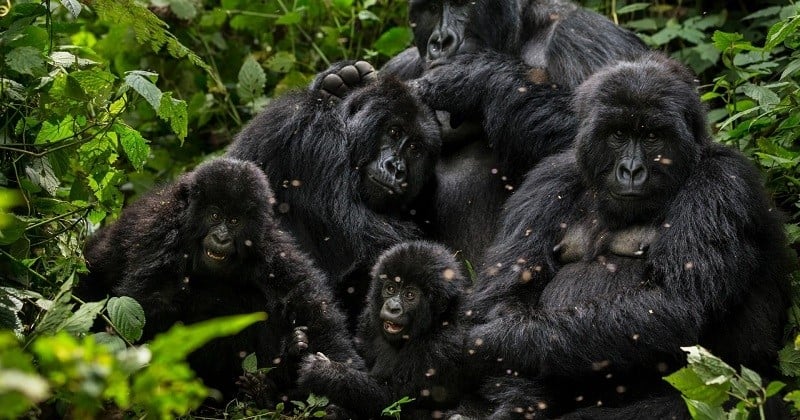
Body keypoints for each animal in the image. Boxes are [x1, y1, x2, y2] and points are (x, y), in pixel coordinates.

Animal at [79, 158, 360, 400]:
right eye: (214, 215)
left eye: (234, 221)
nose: (222, 237)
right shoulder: (162, 231)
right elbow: (147, 310)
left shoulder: (266, 243)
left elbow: (303, 298)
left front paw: (336, 378)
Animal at [296, 241, 472, 418]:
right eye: (391, 289)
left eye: (409, 295)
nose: (392, 307)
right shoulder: (368, 320)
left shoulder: (438, 346)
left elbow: (395, 401)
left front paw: (325, 373)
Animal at [380, 0, 648, 270]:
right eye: (432, 9)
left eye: (461, 4)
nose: (440, 41)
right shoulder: (398, 67)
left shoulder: (587, 36)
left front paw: (476, 75)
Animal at [460, 54, 792, 418]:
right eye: (618, 133)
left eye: (652, 136)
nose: (631, 170)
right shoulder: (545, 182)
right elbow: (502, 295)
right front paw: (517, 393)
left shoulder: (722, 184)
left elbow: (678, 303)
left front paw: (493, 344)